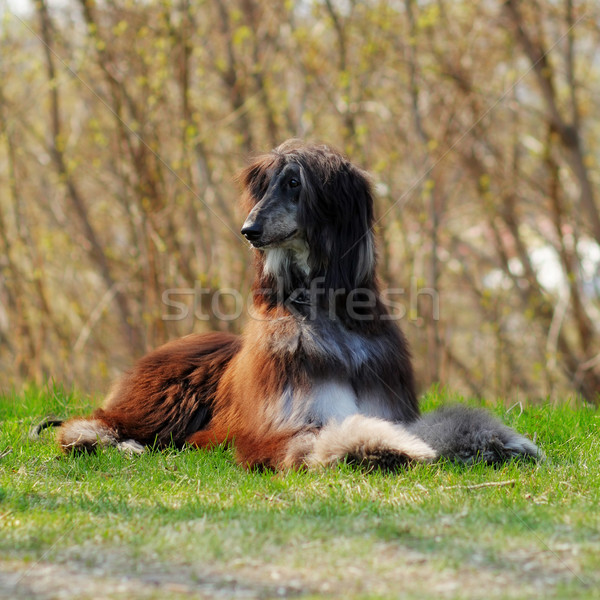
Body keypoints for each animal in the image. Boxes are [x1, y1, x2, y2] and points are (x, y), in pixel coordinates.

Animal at [57, 139, 544, 468]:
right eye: (263, 187)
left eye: (294, 183)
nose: (248, 230)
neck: (325, 310)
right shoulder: (282, 425)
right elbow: (325, 438)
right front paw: (384, 447)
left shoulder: (390, 404)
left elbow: (445, 422)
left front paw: (498, 441)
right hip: (161, 400)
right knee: (95, 422)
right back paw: (105, 441)